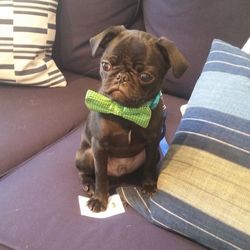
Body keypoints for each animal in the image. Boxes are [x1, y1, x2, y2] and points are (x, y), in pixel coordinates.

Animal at [76, 25, 188, 212]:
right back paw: (89, 184)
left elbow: (149, 166)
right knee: (86, 172)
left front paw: (148, 184)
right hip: (86, 155)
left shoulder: (152, 142)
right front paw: (99, 199)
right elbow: (101, 175)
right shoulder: (99, 146)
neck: (126, 111)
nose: (122, 76)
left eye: (145, 77)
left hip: (155, 154)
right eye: (106, 65)